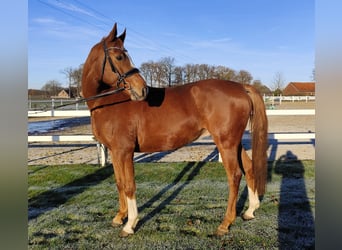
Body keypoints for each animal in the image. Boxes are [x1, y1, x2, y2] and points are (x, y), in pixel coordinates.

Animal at [81, 24, 268, 237]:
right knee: (249, 168)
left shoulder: (124, 151)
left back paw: (225, 223)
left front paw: (130, 224)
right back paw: (250, 211)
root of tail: (241, 87)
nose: (142, 89)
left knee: (235, 175)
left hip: (226, 143)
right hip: (234, 142)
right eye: (120, 57)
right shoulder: (114, 151)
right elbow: (120, 183)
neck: (109, 102)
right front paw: (120, 217)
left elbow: (129, 186)